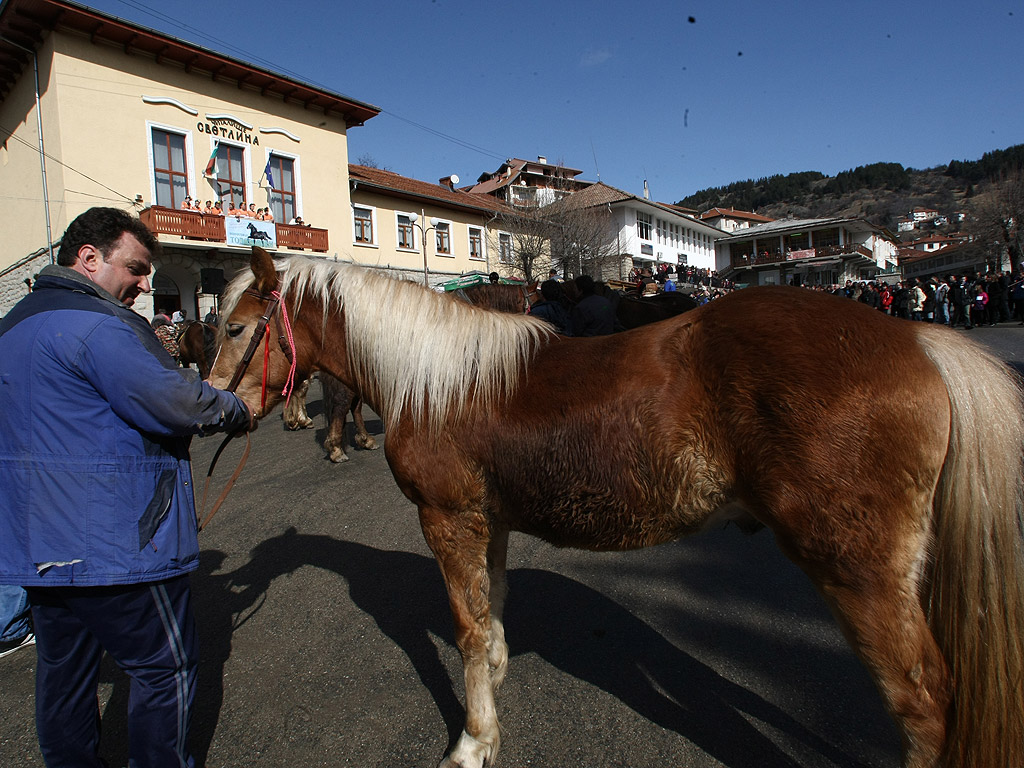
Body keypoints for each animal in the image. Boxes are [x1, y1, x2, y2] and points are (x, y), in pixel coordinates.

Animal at [209, 247, 1024, 768]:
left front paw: (473, 741)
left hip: (859, 574)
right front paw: (495, 695)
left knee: (923, 706)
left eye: (235, 328)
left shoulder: (449, 518)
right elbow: (491, 616)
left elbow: (467, 631)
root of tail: (919, 339)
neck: (439, 381)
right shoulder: (490, 521)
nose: (223, 409)